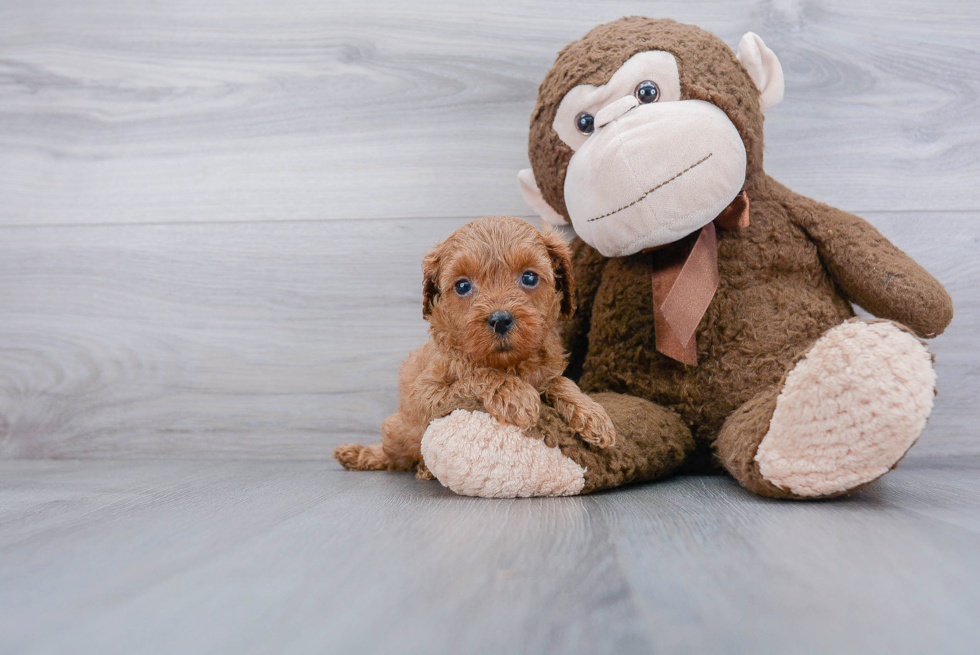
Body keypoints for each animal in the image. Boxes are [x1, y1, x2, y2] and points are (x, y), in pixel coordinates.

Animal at [334, 215, 616, 476]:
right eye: (462, 285)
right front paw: (514, 392)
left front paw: (592, 414)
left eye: (529, 277)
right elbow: (473, 375)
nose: (500, 319)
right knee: (393, 455)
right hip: (398, 429)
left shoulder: (545, 371)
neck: (507, 364)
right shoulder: (424, 395)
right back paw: (364, 455)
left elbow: (560, 381)